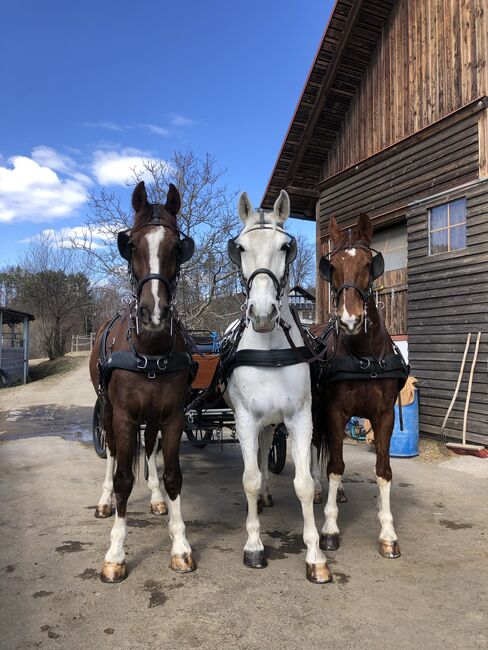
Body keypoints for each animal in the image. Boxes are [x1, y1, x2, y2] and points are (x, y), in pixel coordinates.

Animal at [90, 180, 197, 580]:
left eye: (177, 248)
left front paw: (180, 545)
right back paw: (104, 501)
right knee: (111, 454)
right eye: (132, 245)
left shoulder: (173, 416)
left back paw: (154, 498)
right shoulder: (122, 415)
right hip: (107, 411)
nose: (154, 312)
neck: (149, 348)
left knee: (149, 448)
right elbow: (123, 477)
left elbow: (173, 476)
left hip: (151, 418)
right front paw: (115, 553)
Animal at [224, 189, 332, 584]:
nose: (262, 313)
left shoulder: (300, 417)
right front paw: (254, 546)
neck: (269, 348)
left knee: (267, 447)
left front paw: (315, 555)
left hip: (275, 422)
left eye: (286, 246)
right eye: (239, 247)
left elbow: (303, 483)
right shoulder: (244, 418)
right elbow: (249, 479)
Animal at [312, 211, 408, 556]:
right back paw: (317, 489)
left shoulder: (385, 415)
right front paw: (329, 528)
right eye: (332, 266)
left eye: (369, 264)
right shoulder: (334, 411)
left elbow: (383, 470)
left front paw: (388, 533)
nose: (349, 320)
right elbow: (335, 465)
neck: (364, 355)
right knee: (316, 446)